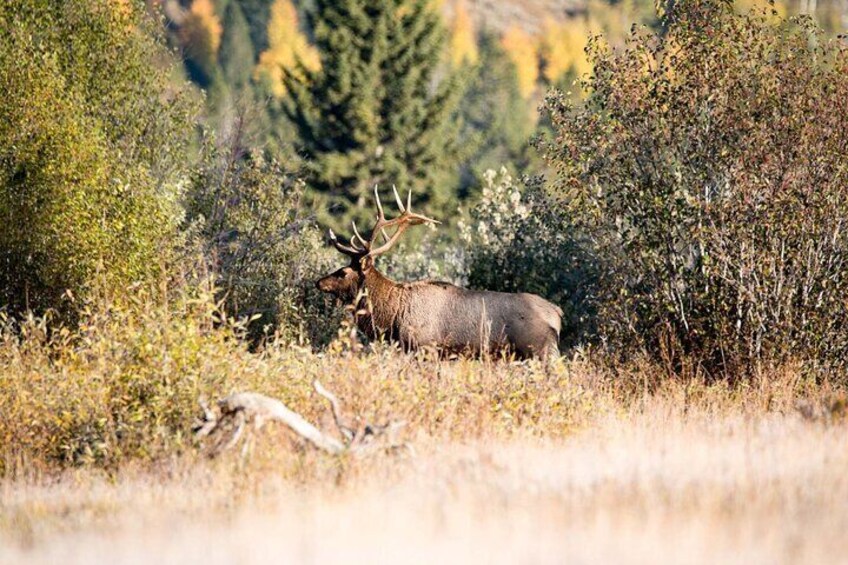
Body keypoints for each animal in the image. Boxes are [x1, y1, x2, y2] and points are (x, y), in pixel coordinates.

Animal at [314, 187, 564, 360]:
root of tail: (557, 313)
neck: (391, 317)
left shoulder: (424, 346)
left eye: (343, 272)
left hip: (540, 350)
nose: (318, 282)